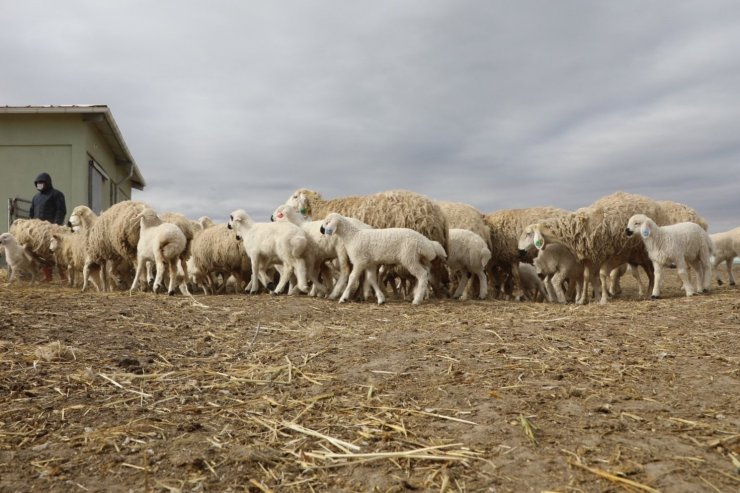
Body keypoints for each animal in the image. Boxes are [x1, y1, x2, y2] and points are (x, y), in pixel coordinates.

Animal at [318, 211, 446, 304]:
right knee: (425, 273)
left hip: (409, 258)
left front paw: (343, 298)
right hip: (419, 258)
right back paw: (416, 294)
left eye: (327, 222)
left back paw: (417, 300)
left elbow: (352, 278)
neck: (353, 236)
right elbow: (371, 279)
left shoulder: (359, 261)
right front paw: (381, 299)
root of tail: (426, 242)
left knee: (422, 275)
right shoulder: (369, 263)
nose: (321, 230)